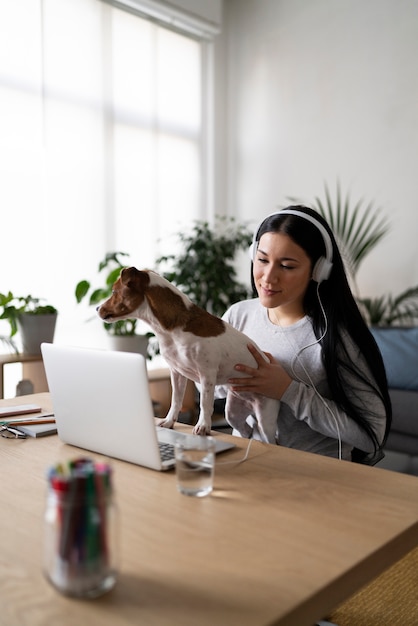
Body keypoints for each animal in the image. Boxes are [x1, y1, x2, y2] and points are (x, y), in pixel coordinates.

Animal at [97, 266, 280, 442]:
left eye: (113, 292)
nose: (97, 307)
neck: (173, 329)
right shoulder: (177, 372)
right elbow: (176, 400)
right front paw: (169, 421)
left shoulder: (207, 374)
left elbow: (205, 403)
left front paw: (203, 426)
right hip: (233, 412)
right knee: (247, 429)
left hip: (266, 419)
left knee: (268, 437)